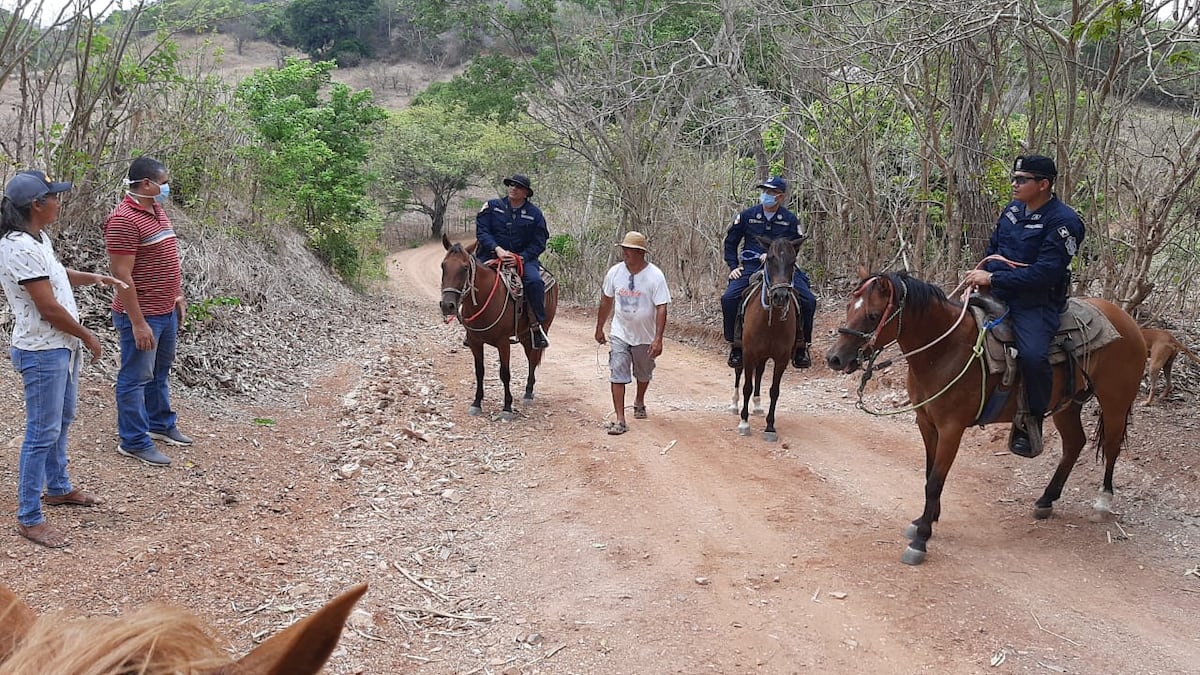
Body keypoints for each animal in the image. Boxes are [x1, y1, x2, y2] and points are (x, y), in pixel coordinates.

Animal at [439, 233, 558, 420]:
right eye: (443, 266)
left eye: (465, 268)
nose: (447, 305)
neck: (484, 299)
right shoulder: (475, 342)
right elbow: (479, 371)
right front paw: (476, 403)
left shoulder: (503, 343)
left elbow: (505, 373)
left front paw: (507, 407)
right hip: (524, 335)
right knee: (531, 357)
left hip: (540, 329)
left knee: (533, 357)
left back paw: (528, 393)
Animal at [733, 236, 805, 442]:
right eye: (770, 259)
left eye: (793, 262)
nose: (780, 296)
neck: (770, 323)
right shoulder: (749, 353)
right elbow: (747, 386)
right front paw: (744, 423)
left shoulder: (781, 359)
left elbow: (774, 390)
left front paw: (770, 427)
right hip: (742, 351)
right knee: (739, 373)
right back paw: (734, 404)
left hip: (764, 355)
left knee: (760, 372)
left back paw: (757, 406)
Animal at [826, 269, 1145, 565]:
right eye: (849, 307)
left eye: (872, 315)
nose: (834, 359)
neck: (944, 351)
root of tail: (1128, 321)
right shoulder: (926, 423)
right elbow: (929, 474)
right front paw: (926, 519)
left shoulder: (951, 429)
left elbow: (935, 481)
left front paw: (921, 539)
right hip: (1067, 405)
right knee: (1074, 443)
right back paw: (1046, 500)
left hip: (1115, 402)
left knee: (1112, 447)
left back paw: (1102, 502)